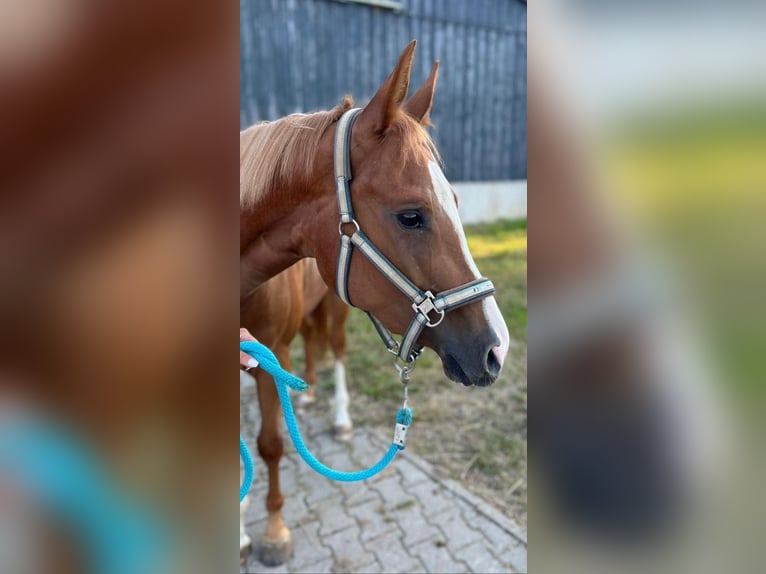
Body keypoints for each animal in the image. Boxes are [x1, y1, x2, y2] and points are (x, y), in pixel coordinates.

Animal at [240, 40, 512, 568]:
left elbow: (269, 444)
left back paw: (340, 420)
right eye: (411, 216)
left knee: (337, 351)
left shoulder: (269, 355)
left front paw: (274, 532)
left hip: (335, 311)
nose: (497, 349)